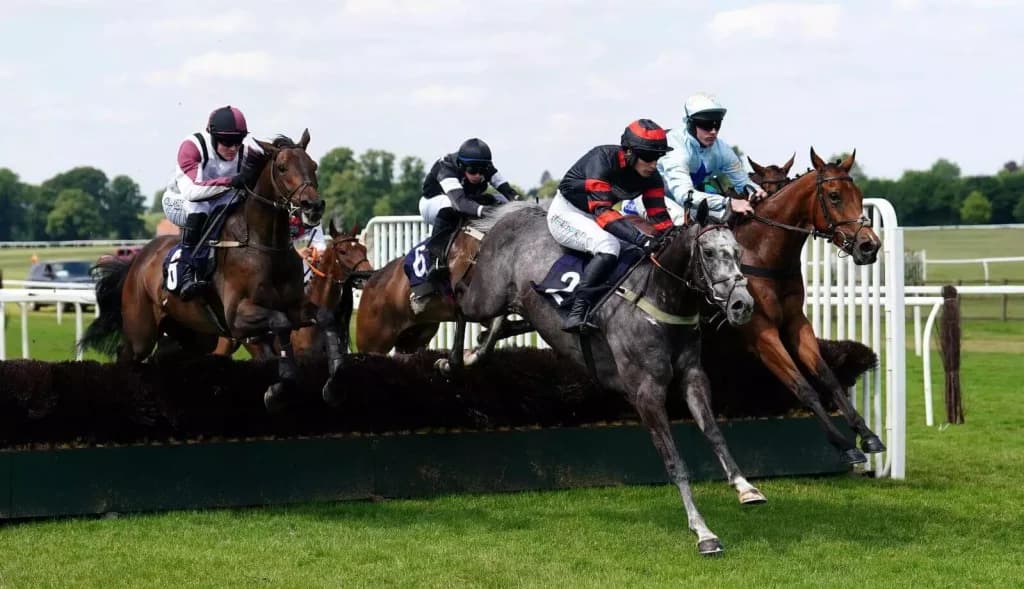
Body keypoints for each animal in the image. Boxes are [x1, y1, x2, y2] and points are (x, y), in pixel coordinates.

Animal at [79, 131, 325, 411]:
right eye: (282, 167)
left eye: (313, 165)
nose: (313, 206)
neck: (264, 244)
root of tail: (137, 260)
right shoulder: (238, 316)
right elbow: (281, 323)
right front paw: (279, 387)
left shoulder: (295, 305)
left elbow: (321, 317)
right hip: (141, 332)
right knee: (128, 356)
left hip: (194, 335)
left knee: (163, 357)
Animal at [443, 200, 760, 556]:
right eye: (707, 252)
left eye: (737, 251)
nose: (742, 305)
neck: (660, 298)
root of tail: (516, 213)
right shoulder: (645, 391)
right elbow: (675, 462)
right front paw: (703, 532)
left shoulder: (692, 375)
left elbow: (715, 433)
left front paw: (745, 487)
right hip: (485, 297)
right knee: (458, 301)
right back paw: (452, 359)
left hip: (517, 304)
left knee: (500, 320)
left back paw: (477, 350)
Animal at [731, 148, 883, 463]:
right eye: (834, 196)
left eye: (860, 196)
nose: (869, 246)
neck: (762, 253)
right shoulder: (761, 333)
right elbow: (803, 386)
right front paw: (844, 443)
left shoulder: (796, 323)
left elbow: (828, 377)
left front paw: (867, 434)